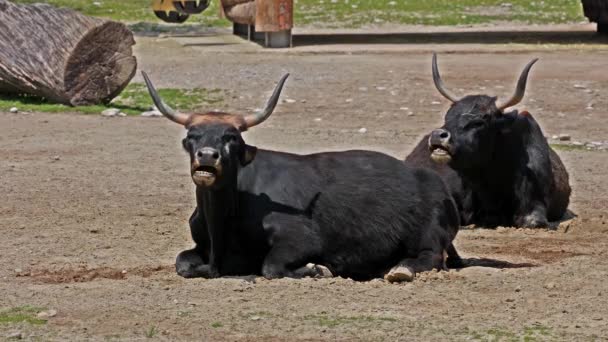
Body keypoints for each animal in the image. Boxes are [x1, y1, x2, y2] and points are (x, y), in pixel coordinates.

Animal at [142, 71, 464, 280]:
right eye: (192, 136)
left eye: (231, 137)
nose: (208, 155)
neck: (222, 221)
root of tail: (430, 180)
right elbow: (182, 262)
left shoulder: (300, 240)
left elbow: (271, 267)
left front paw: (317, 268)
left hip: (429, 234)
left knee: (429, 256)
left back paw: (400, 270)